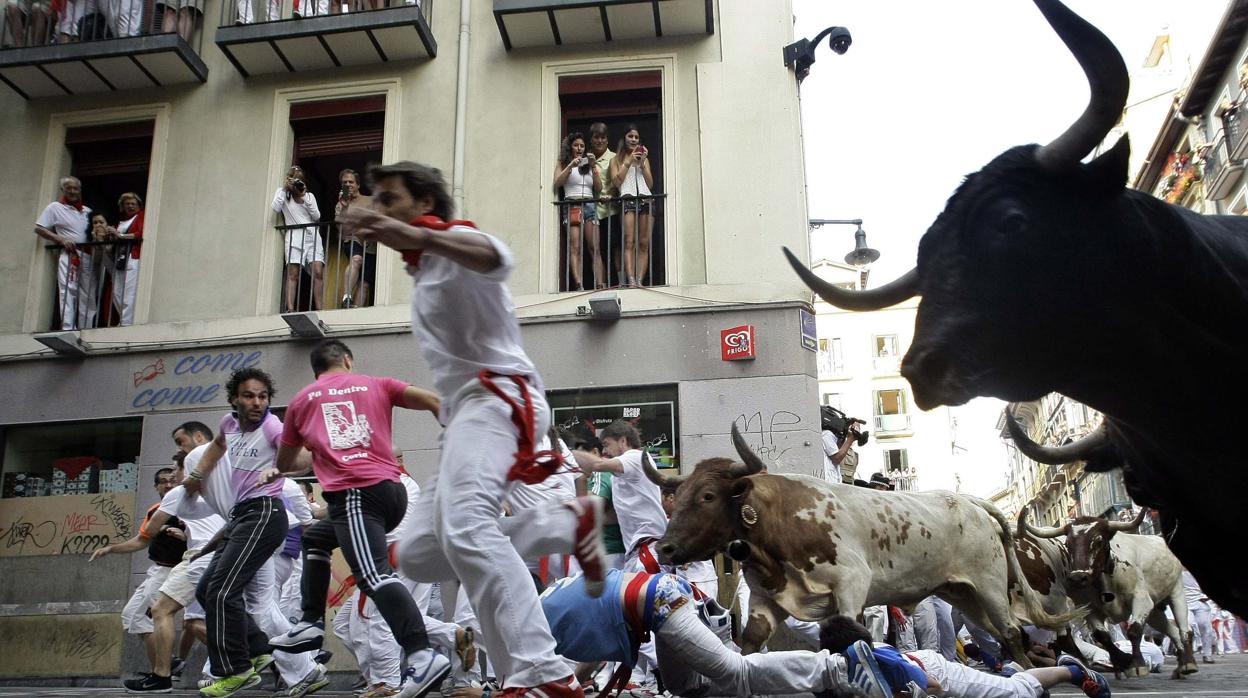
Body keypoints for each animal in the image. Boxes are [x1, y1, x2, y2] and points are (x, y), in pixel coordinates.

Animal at [653, 427, 1083, 664]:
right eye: (680, 494)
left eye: (708, 496)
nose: (665, 549)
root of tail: (970, 501)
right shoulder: (764, 599)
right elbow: (749, 645)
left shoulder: (851, 584)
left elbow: (850, 633)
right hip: (964, 594)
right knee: (1005, 633)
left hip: (990, 584)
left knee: (1011, 632)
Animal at [1023, 511, 1198, 679]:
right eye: (1067, 544)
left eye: (1098, 541)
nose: (1078, 578)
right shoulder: (1090, 610)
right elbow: (1102, 637)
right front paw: (1123, 662)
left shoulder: (1141, 600)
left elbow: (1134, 630)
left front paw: (1137, 665)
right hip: (1155, 611)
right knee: (1172, 631)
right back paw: (1180, 667)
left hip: (1176, 591)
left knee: (1185, 629)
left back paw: (1189, 663)